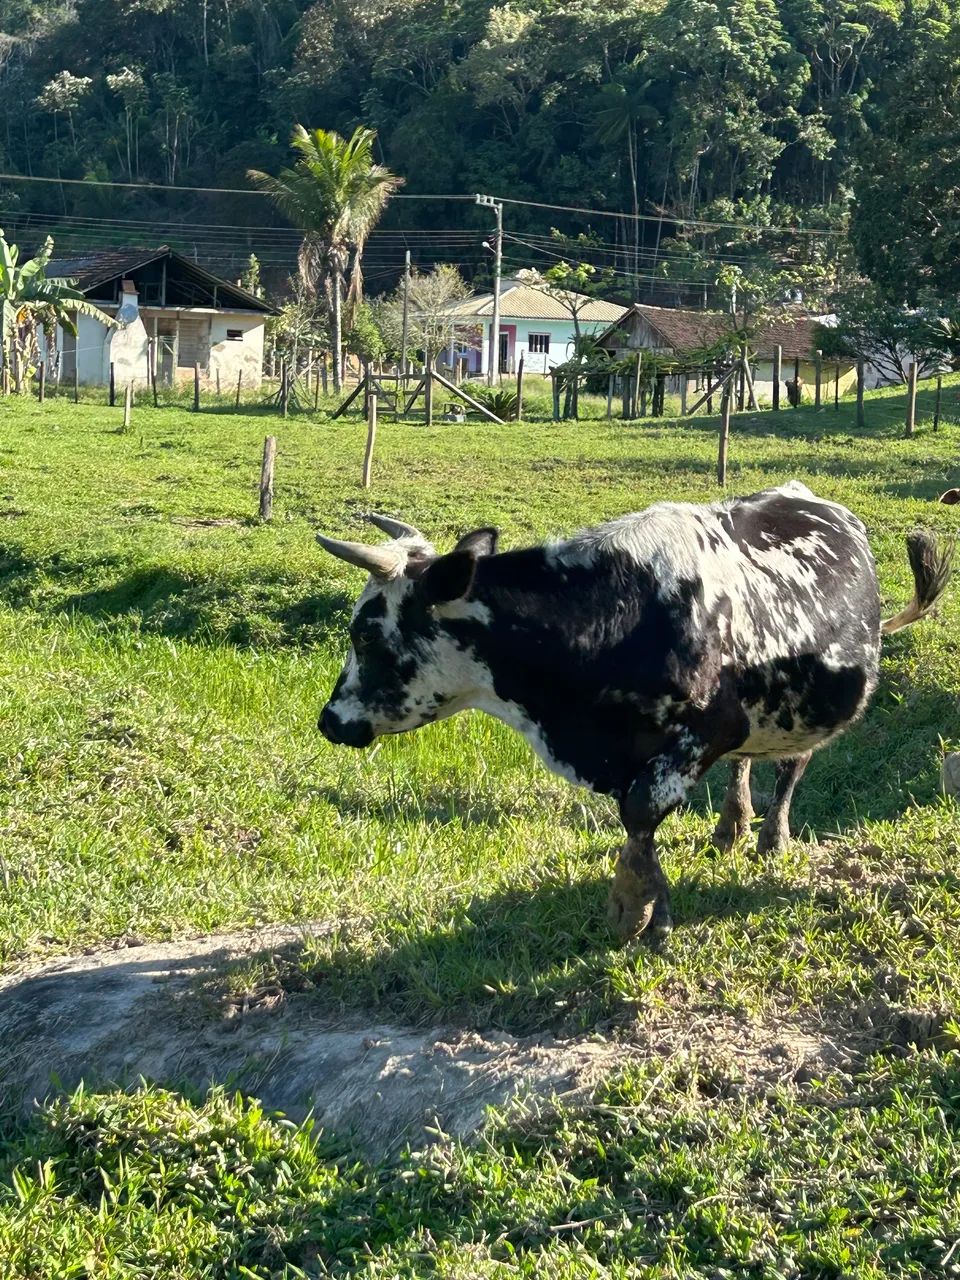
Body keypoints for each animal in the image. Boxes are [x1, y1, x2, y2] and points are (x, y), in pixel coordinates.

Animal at [316, 483, 953, 943]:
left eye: (366, 634)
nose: (329, 721)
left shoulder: (712, 727)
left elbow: (641, 809)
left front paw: (634, 907)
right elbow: (636, 815)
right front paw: (647, 901)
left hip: (801, 710)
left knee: (789, 765)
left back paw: (771, 837)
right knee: (744, 766)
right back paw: (730, 827)